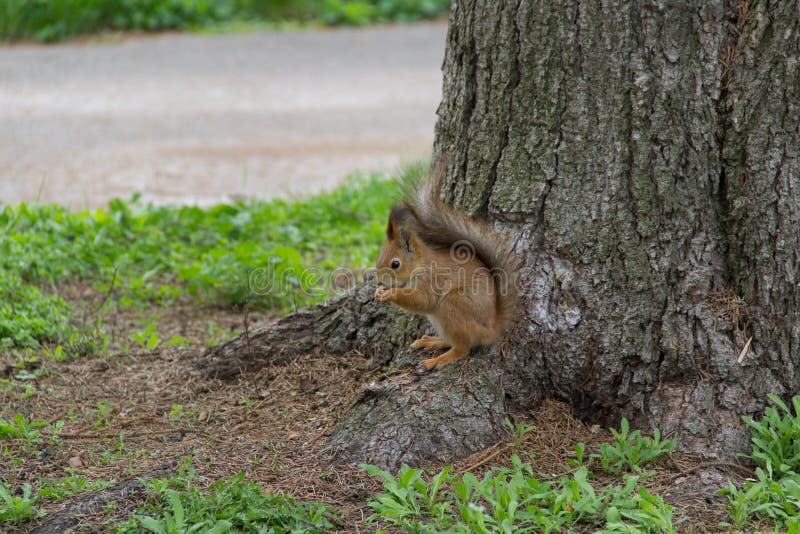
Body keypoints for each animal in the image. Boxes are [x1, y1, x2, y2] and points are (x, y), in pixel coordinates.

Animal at [374, 163, 519, 371]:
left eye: (395, 264)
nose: (379, 282)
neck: (421, 265)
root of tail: (492, 328)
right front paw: (378, 292)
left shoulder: (431, 281)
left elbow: (422, 300)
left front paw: (390, 294)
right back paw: (432, 341)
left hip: (453, 304)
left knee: (462, 348)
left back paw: (438, 360)